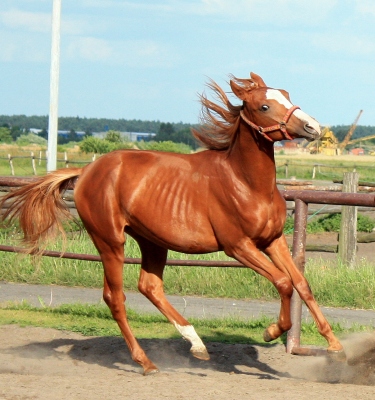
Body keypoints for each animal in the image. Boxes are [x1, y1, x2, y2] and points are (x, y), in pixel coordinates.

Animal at [1, 72, 346, 376]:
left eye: (286, 94)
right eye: (264, 106)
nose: (313, 127)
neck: (246, 183)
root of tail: (86, 171)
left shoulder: (272, 241)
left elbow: (301, 284)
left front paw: (334, 345)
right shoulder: (238, 246)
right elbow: (284, 282)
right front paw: (271, 331)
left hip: (152, 241)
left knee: (149, 286)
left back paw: (197, 344)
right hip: (110, 241)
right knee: (115, 298)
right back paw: (146, 362)